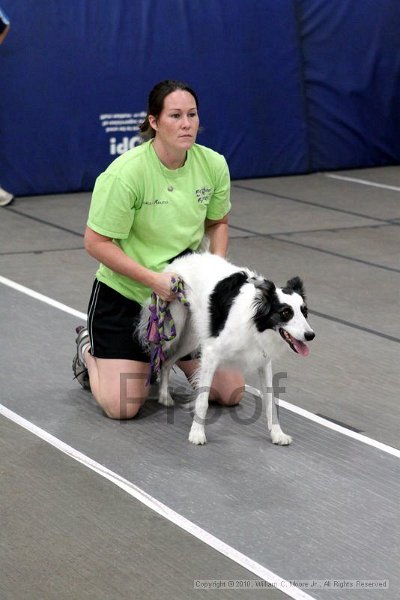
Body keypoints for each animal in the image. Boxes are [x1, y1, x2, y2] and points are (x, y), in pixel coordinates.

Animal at [142, 251, 314, 442]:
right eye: (285, 313)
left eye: (305, 312)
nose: (311, 335)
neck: (254, 323)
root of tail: (181, 259)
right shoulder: (211, 353)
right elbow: (203, 399)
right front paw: (197, 432)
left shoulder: (264, 362)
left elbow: (270, 401)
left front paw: (277, 434)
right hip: (174, 326)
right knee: (159, 356)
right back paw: (161, 392)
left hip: (192, 337)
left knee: (166, 362)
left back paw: (164, 396)